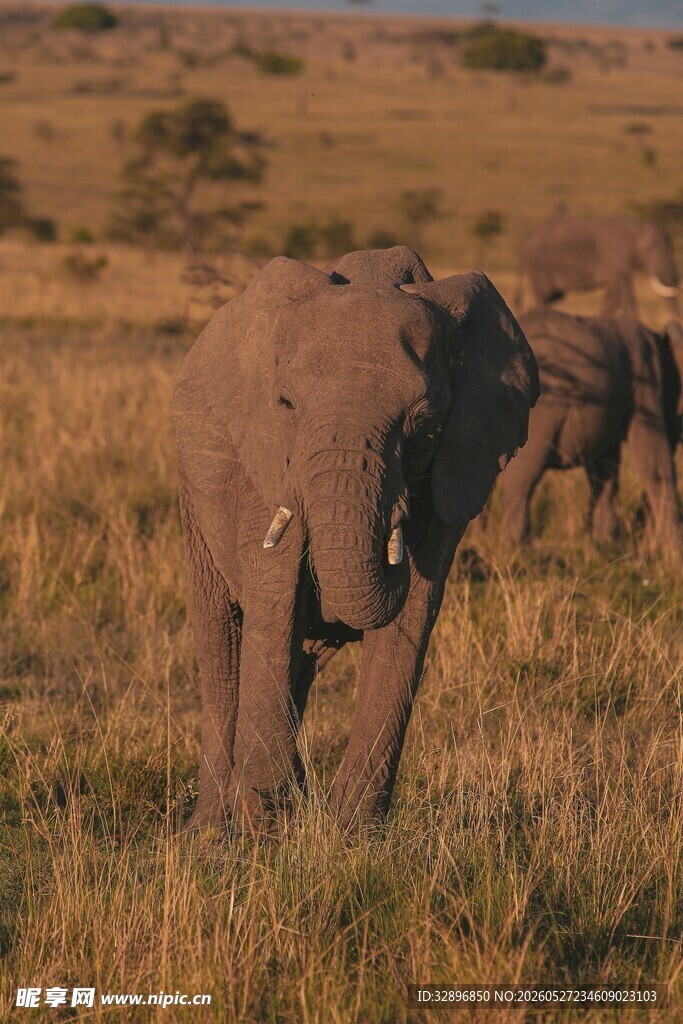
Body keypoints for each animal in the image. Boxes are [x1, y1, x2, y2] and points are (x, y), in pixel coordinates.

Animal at [172, 246, 539, 831]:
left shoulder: (456, 466)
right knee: (223, 642)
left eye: (423, 419)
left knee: (305, 658)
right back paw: (210, 830)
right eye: (286, 404)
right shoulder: (266, 462)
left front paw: (351, 833)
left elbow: (412, 616)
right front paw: (260, 833)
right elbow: (274, 605)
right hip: (192, 487)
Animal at [498, 309, 683, 546]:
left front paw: (607, 544)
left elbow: (606, 466)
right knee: (523, 479)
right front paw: (673, 548)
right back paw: (518, 545)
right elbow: (654, 454)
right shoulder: (645, 381)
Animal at [519, 216, 680, 318]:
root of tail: (526, 240)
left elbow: (613, 296)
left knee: (550, 298)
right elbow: (622, 293)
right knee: (542, 297)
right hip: (538, 267)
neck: (635, 225)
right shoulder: (613, 259)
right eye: (649, 248)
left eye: (672, 247)